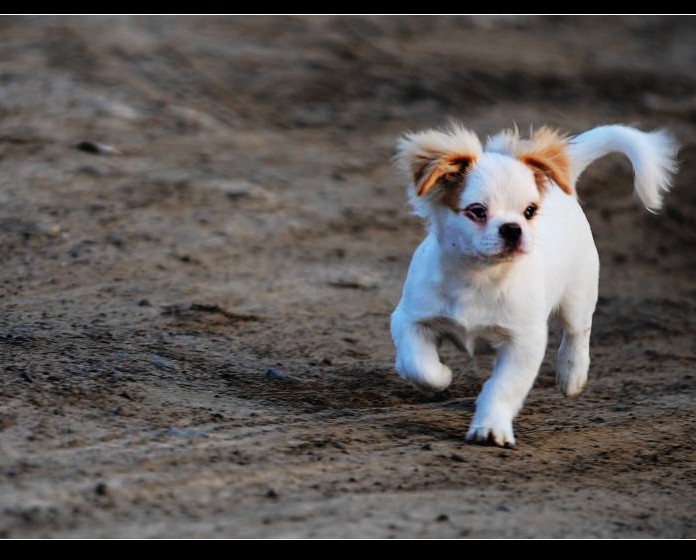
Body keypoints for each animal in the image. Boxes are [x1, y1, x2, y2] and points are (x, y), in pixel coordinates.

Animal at [394, 124, 676, 448]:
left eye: (529, 211)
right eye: (477, 211)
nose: (513, 228)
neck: (479, 277)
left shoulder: (524, 341)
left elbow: (503, 387)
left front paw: (491, 428)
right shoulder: (409, 319)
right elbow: (419, 365)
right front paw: (440, 375)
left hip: (577, 296)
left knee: (578, 332)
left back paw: (571, 374)